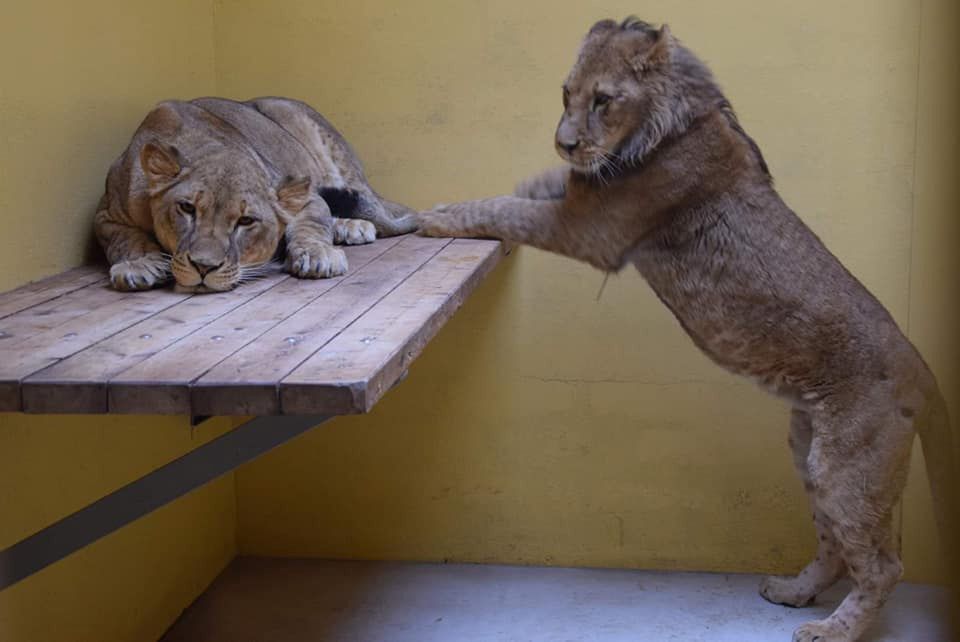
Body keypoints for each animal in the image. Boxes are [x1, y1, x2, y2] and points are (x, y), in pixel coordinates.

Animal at [93, 96, 416, 292]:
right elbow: (126, 239)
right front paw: (139, 265)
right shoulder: (106, 215)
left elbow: (312, 225)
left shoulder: (306, 195)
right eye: (187, 208)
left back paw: (356, 226)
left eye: (245, 221)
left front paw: (317, 255)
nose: (203, 267)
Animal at [420, 16, 960, 640]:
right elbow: (537, 188)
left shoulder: (590, 231)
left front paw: (434, 215)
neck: (658, 125)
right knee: (834, 546)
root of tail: (925, 371)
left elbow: (500, 208)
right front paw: (532, 177)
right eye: (566, 94)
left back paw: (831, 630)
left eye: (603, 100)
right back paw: (792, 592)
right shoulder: (583, 200)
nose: (565, 140)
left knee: (881, 566)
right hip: (808, 449)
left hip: (849, 466)